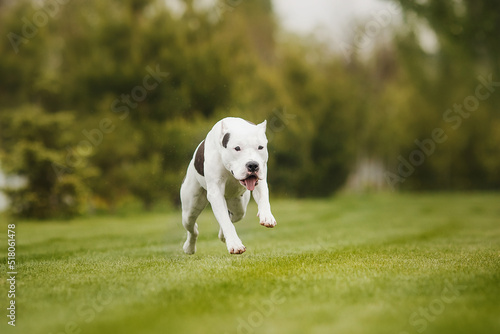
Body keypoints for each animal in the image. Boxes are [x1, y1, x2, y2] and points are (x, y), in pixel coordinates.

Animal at [181, 116, 278, 254]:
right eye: (237, 148)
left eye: (260, 147)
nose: (253, 165)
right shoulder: (216, 194)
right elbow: (225, 221)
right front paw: (234, 244)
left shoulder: (260, 180)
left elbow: (263, 198)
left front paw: (267, 216)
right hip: (190, 209)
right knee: (193, 228)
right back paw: (189, 247)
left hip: (239, 206)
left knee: (234, 216)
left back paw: (222, 236)